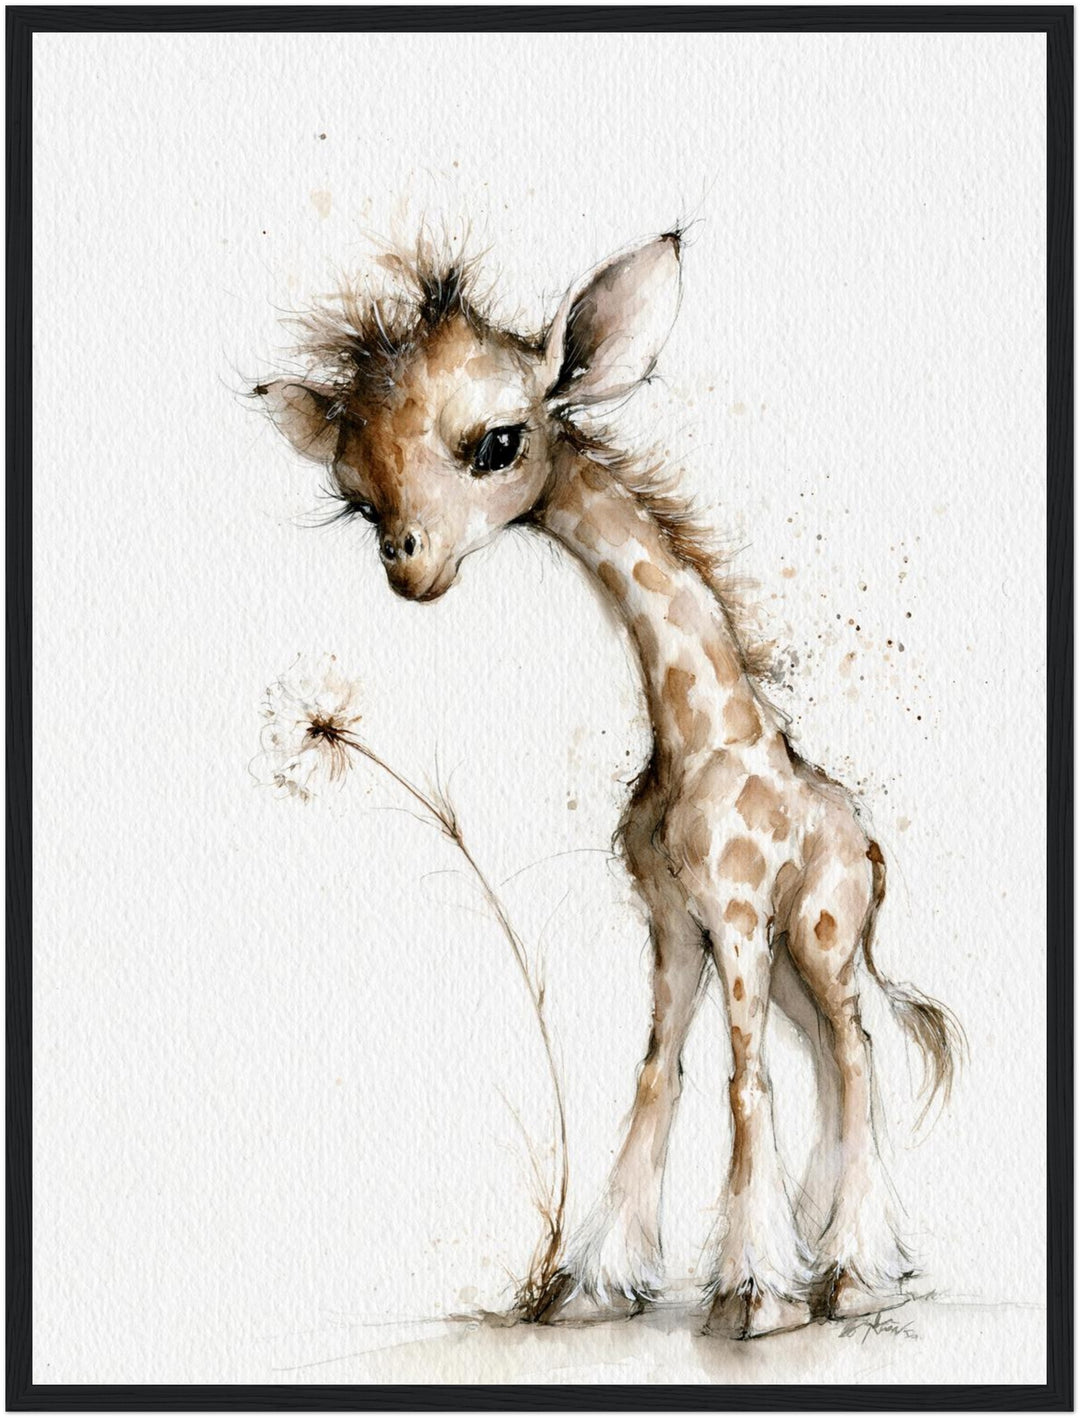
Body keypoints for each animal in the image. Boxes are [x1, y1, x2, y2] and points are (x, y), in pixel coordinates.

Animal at [256, 231, 962, 1339]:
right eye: (355, 496)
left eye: (498, 443)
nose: (408, 567)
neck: (693, 735)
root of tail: (871, 846)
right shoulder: (675, 923)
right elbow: (657, 1074)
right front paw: (597, 1285)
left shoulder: (736, 911)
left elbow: (743, 1081)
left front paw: (750, 1296)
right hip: (793, 956)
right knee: (831, 1057)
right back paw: (840, 1261)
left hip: (823, 932)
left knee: (854, 1053)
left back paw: (854, 1274)